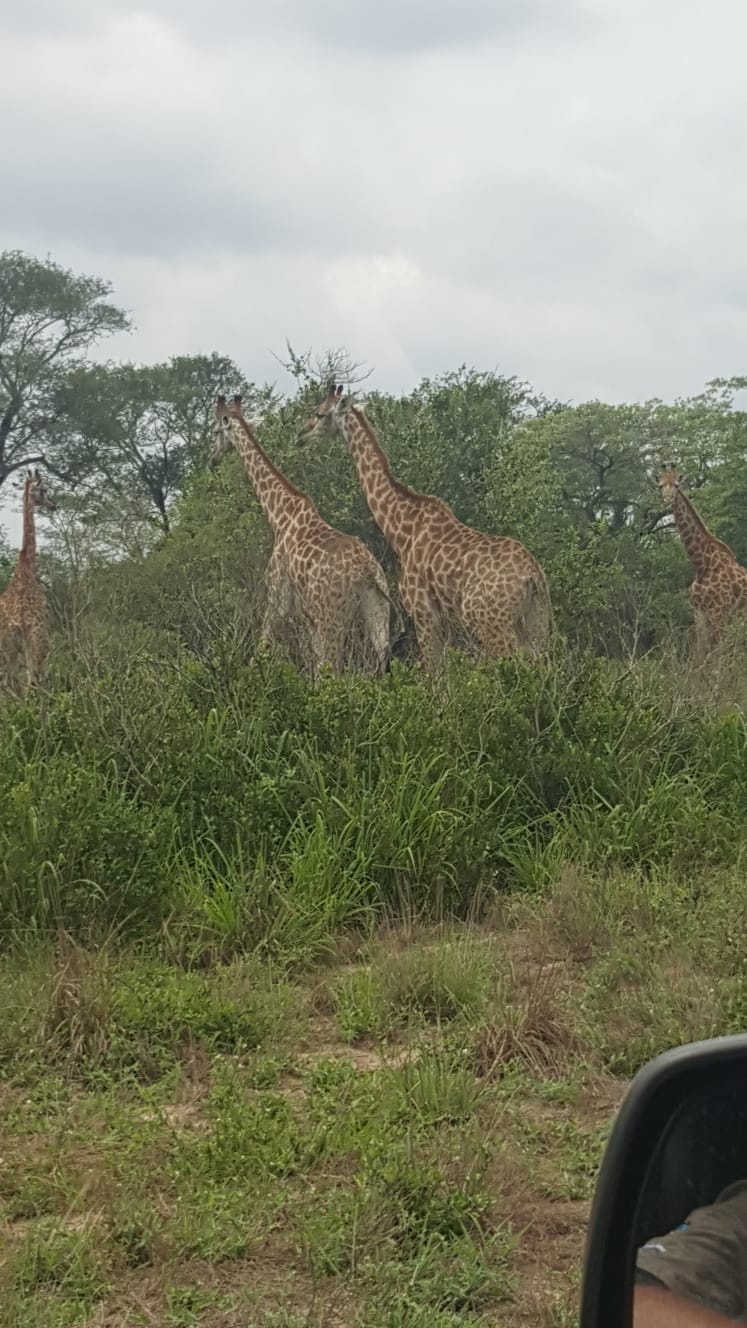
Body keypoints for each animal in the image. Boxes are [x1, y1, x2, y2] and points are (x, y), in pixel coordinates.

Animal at [209, 394, 396, 680]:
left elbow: (263, 645)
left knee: (333, 667)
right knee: (379, 661)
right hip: (377, 612)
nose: (212, 460)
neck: (279, 514)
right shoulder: (307, 617)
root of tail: (367, 570)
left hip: (333, 617)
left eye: (216, 431)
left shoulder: (277, 597)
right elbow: (311, 665)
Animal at [297, 383, 551, 672]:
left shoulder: (422, 612)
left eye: (319, 413)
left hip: (492, 624)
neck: (402, 530)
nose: (300, 435)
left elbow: (432, 673)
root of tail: (533, 576)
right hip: (537, 623)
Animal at [658, 462, 747, 661]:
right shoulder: (699, 614)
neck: (701, 564)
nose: (668, 498)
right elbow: (698, 656)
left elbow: (718, 658)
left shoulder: (719, 612)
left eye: (676, 485)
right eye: (660, 486)